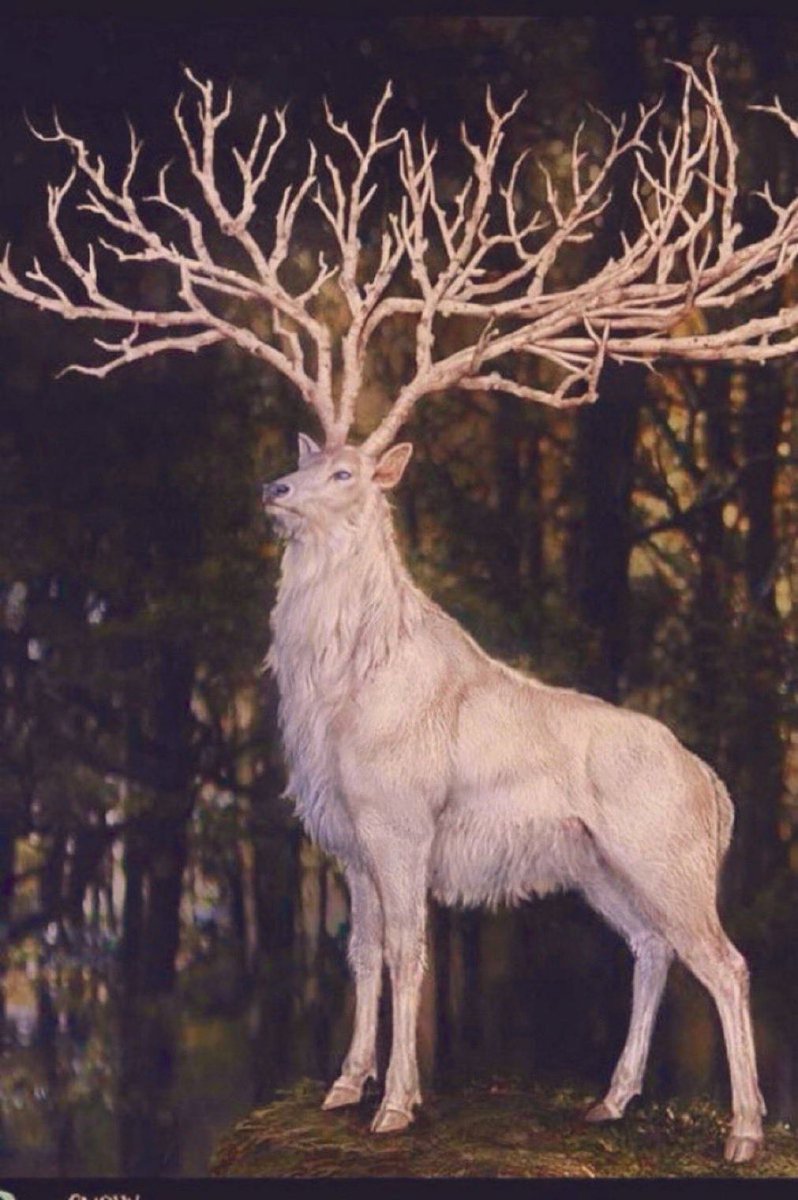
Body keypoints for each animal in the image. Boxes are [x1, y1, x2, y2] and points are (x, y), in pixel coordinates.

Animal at [2, 51, 798, 1164]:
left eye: (346, 473)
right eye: (305, 457)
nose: (274, 489)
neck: (334, 705)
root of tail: (718, 791)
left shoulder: (402, 818)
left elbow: (415, 956)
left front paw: (396, 1106)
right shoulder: (340, 835)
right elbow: (364, 956)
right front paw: (346, 1086)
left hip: (666, 854)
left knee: (725, 961)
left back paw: (743, 1134)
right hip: (601, 867)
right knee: (650, 952)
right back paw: (609, 1101)